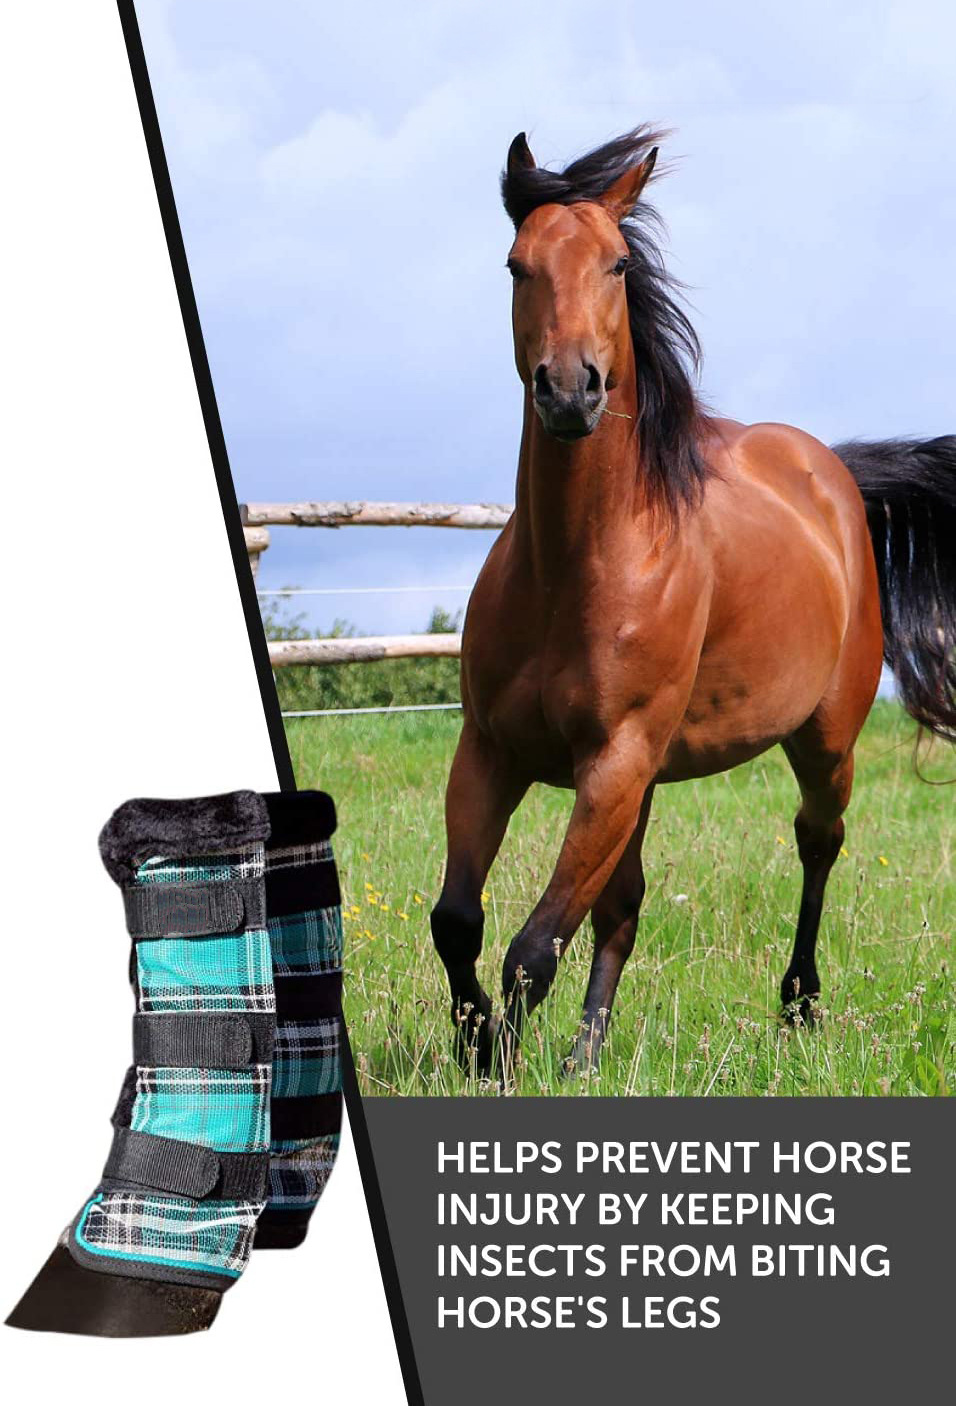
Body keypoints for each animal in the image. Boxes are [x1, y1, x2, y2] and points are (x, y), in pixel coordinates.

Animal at [430, 126, 956, 1076]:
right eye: (518, 265)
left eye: (616, 265)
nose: (571, 389)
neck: (575, 568)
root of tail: (832, 476)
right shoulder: (494, 752)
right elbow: (460, 919)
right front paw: (480, 1045)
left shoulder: (613, 763)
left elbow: (533, 948)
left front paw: (500, 1061)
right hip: (642, 783)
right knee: (621, 908)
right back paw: (589, 1053)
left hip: (823, 741)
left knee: (818, 844)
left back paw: (799, 1007)